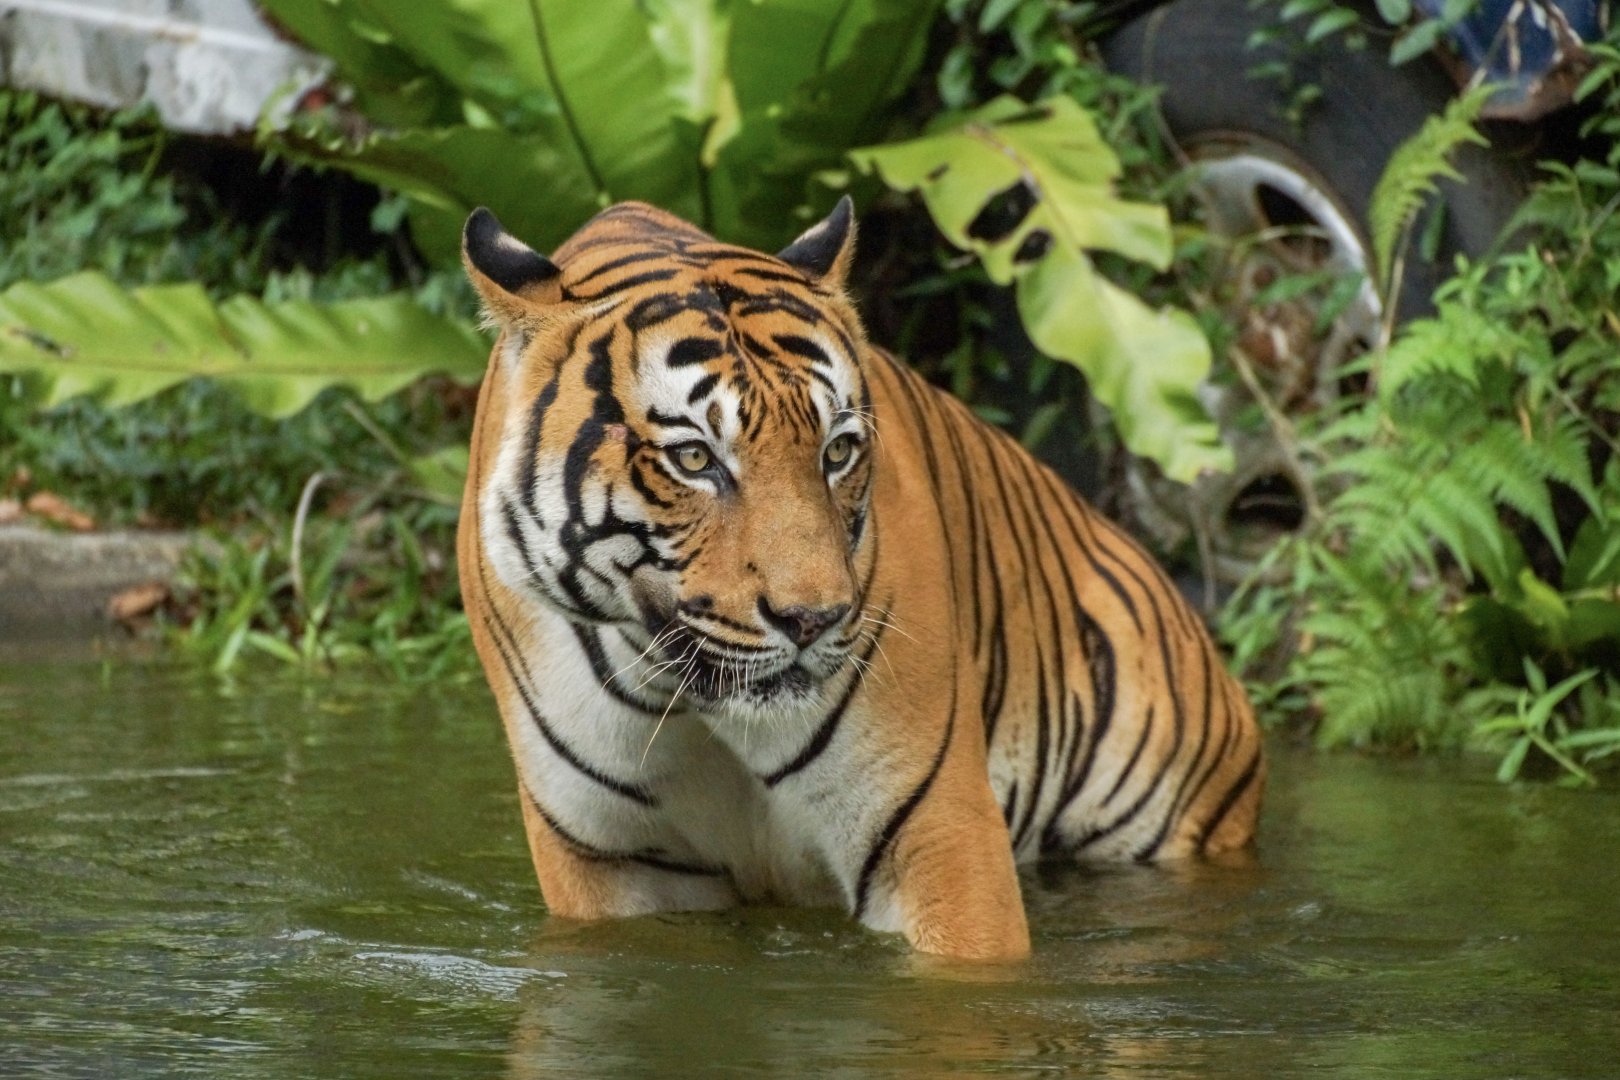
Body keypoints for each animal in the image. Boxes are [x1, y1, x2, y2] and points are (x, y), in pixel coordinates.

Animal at [457, 196, 1265, 961]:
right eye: (694, 459)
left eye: (837, 451)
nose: (812, 619)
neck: (691, 700)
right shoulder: (609, 861)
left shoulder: (933, 827)